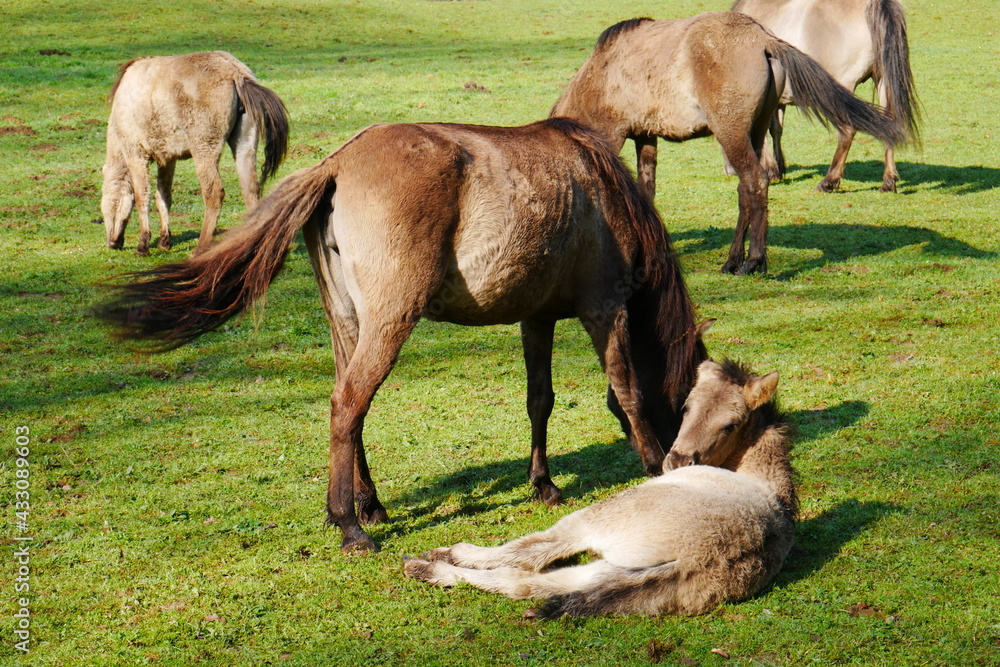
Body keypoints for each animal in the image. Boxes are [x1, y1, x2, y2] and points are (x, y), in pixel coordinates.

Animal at [98, 118, 710, 552]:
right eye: (688, 406)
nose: (688, 466)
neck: (599, 188)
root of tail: (338, 165)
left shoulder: (536, 317)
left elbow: (541, 400)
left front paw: (544, 484)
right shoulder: (605, 308)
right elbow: (627, 390)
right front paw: (653, 463)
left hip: (349, 324)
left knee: (350, 409)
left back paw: (367, 505)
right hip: (390, 321)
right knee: (348, 403)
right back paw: (350, 524)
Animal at [101, 51, 289, 255]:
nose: (112, 243)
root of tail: (236, 72)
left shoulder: (135, 153)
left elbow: (142, 196)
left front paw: (143, 244)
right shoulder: (168, 159)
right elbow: (163, 196)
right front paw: (164, 241)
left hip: (204, 149)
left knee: (214, 193)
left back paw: (201, 247)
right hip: (245, 145)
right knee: (251, 189)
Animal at [404, 359, 795, 618]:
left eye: (732, 424)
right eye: (686, 407)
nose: (676, 462)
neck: (766, 479)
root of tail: (704, 556)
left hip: (601, 518)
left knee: (532, 553)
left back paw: (438, 557)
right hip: (611, 571)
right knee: (527, 582)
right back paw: (427, 570)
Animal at [549, 11, 905, 275]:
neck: (602, 72)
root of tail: (763, 40)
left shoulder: (613, 135)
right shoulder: (646, 136)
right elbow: (645, 192)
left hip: (731, 133)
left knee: (755, 182)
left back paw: (754, 261)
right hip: (755, 132)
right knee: (747, 191)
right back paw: (734, 260)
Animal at [731, 0, 919, 193]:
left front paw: (769, 170)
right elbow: (775, 129)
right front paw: (777, 167)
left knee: (847, 130)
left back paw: (829, 181)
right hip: (882, 81)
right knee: (890, 125)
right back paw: (888, 182)